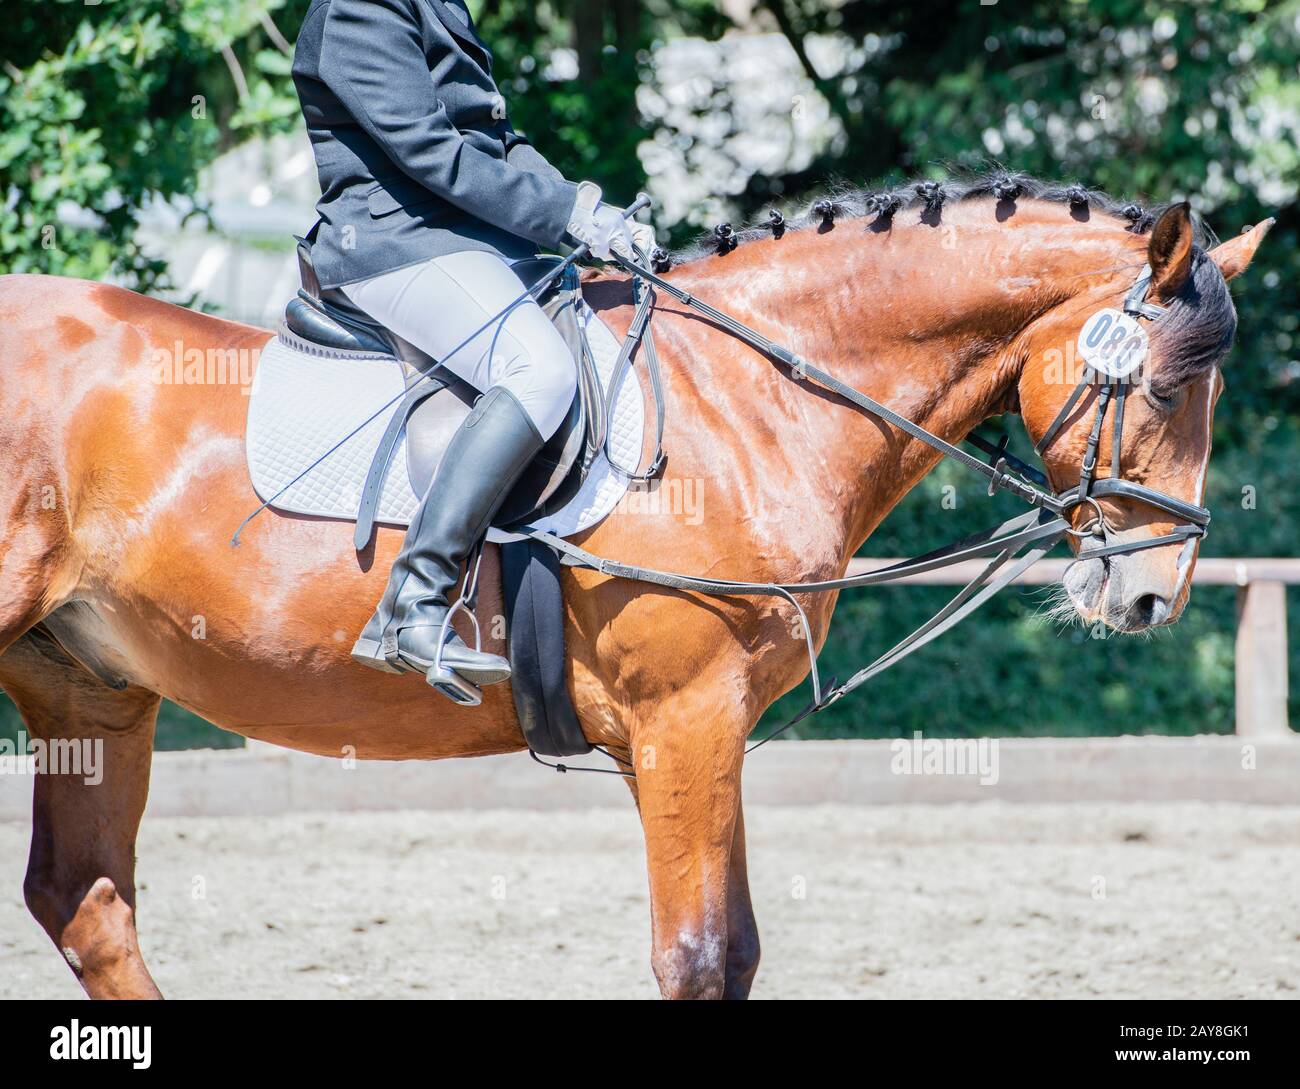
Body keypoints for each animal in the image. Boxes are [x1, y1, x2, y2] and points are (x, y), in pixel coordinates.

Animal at [0, 176, 1268, 998]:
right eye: (1161, 389)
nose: (1149, 598)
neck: (749, 398)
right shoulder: (681, 721)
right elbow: (695, 957)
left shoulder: (715, 729)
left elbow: (737, 952)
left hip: (88, 686)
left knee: (86, 903)